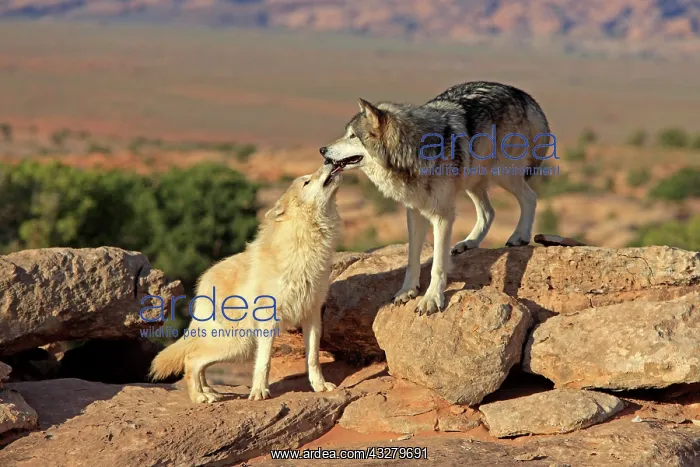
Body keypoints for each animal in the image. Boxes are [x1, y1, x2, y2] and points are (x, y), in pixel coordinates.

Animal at [150, 163, 342, 403]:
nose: (330, 162)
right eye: (307, 181)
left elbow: (313, 358)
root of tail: (202, 283)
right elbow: (264, 363)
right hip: (238, 345)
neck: (305, 244)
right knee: (191, 360)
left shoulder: (312, 315)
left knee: (199, 362)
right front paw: (259, 392)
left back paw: (210, 391)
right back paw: (200, 397)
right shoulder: (269, 321)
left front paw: (320, 386)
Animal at [320, 81, 551, 315]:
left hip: (502, 174)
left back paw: (519, 236)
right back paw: (469, 242)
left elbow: (438, 264)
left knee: (530, 197)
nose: (322, 150)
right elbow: (412, 259)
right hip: (473, 181)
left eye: (353, 136)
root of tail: (519, 93)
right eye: (347, 133)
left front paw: (432, 299)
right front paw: (407, 291)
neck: (413, 152)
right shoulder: (414, 213)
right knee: (489, 212)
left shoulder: (442, 216)